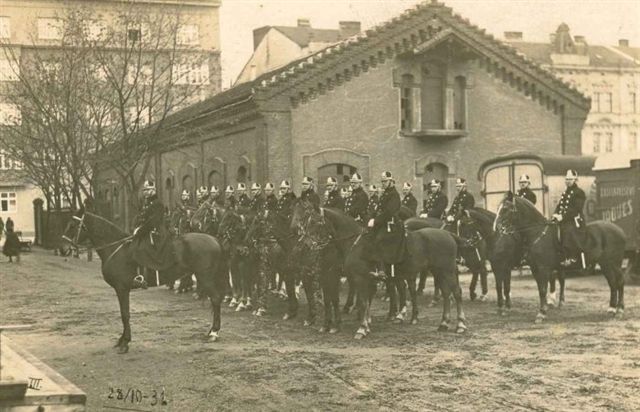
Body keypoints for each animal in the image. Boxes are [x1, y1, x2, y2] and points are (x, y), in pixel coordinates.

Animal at [60, 211, 229, 352]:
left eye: (73, 225)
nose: (62, 249)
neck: (116, 248)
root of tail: (214, 239)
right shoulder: (121, 289)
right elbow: (124, 314)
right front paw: (122, 340)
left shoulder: (122, 288)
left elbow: (125, 314)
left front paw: (125, 342)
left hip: (206, 278)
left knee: (215, 300)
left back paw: (214, 332)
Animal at [292, 203, 468, 338]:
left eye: (316, 222)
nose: (304, 243)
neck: (354, 244)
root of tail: (448, 234)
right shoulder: (340, 277)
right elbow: (355, 301)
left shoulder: (354, 278)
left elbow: (360, 302)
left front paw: (361, 328)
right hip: (439, 272)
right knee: (445, 293)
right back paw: (443, 323)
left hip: (447, 271)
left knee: (456, 293)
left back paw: (460, 325)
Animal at [496, 193, 624, 322]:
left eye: (505, 208)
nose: (497, 227)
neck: (537, 233)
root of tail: (619, 230)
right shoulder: (535, 269)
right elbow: (540, 290)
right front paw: (543, 310)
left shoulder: (543, 269)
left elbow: (543, 289)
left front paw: (541, 313)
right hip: (605, 264)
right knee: (612, 283)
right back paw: (612, 308)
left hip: (614, 264)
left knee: (620, 281)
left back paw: (620, 310)